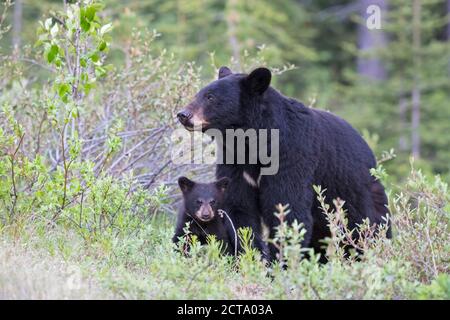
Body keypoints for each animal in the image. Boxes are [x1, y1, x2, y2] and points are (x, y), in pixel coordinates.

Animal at [176, 66, 390, 262]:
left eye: (210, 97)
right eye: (199, 94)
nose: (182, 114)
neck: (254, 143)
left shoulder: (292, 157)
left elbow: (288, 209)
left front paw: (280, 265)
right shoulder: (235, 162)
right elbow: (239, 210)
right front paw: (250, 259)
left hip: (356, 195)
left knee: (367, 228)